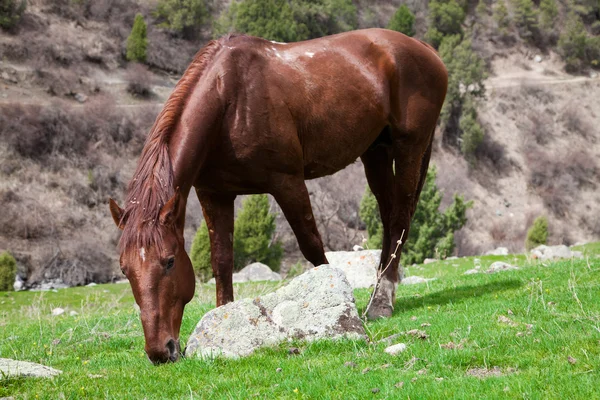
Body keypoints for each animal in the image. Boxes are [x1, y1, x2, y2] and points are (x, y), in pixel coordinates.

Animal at [109, 29, 446, 364]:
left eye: (169, 261)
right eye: (125, 269)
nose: (160, 350)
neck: (230, 101)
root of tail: (424, 48)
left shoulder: (287, 183)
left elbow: (312, 246)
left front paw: (338, 306)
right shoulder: (214, 195)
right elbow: (222, 261)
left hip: (409, 147)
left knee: (400, 218)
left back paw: (380, 303)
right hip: (376, 152)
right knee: (389, 218)